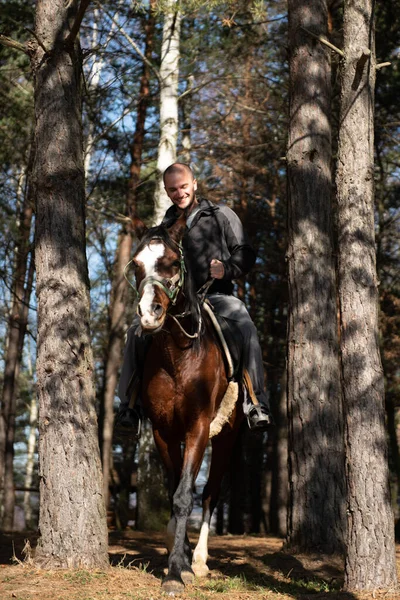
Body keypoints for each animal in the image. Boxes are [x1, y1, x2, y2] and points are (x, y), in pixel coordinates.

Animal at [131, 213, 244, 592]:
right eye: (136, 265)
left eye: (168, 262)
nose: (149, 314)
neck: (178, 355)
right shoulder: (164, 431)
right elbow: (172, 492)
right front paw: (174, 554)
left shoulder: (198, 426)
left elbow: (185, 497)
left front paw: (177, 571)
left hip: (225, 439)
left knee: (209, 493)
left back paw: (200, 559)